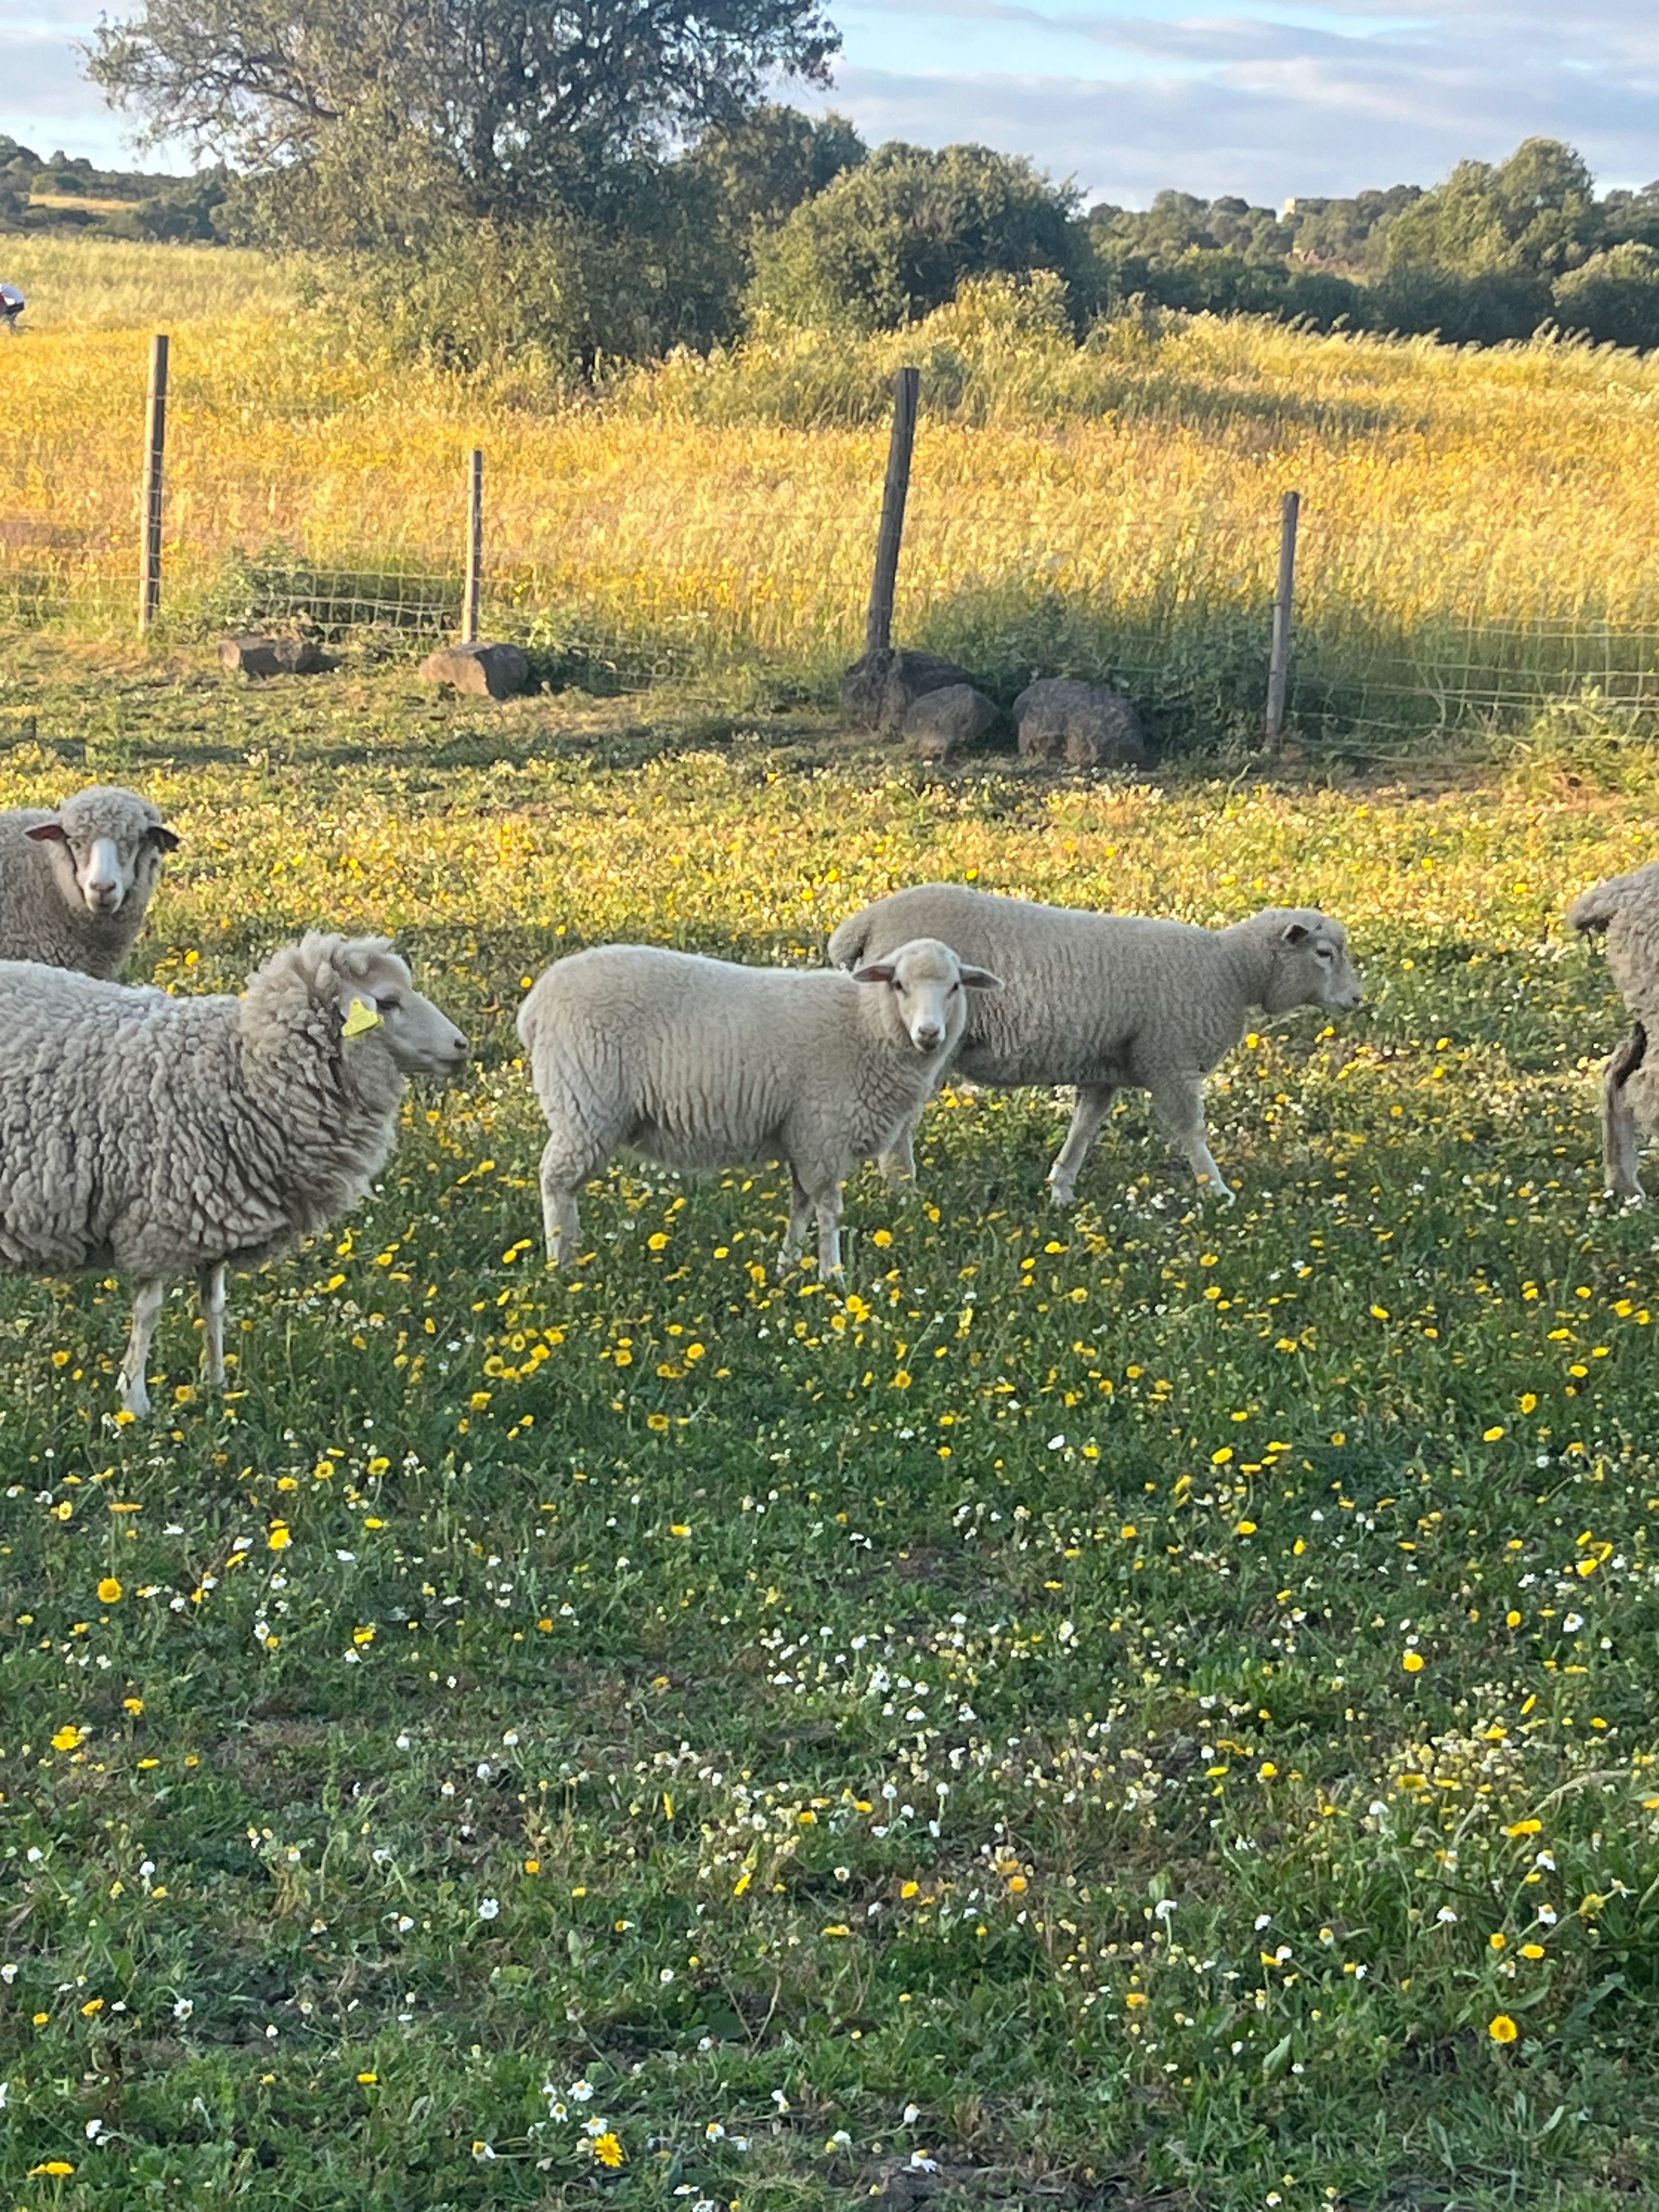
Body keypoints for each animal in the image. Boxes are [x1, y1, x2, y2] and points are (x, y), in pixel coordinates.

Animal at [0, 933, 471, 1415]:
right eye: (388, 1002)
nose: (462, 1046)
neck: (243, 1071)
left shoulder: (215, 1212)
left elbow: (215, 1303)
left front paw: (217, 1387)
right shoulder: (158, 1218)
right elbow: (149, 1310)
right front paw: (135, 1402)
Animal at [520, 938, 1008, 1283]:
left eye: (955, 987)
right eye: (900, 985)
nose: (929, 1034)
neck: (866, 1023)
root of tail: (535, 1005)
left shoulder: (803, 1136)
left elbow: (801, 1205)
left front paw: (786, 1268)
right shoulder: (823, 1131)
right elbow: (828, 1209)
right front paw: (832, 1277)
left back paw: (573, 1255)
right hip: (584, 1101)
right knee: (556, 1181)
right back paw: (562, 1265)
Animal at [827, 876, 1362, 1203]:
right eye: (1323, 952)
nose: (1357, 999)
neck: (1229, 970)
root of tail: (863, 926)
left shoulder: (1105, 1067)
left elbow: (1085, 1127)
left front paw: (1061, 1189)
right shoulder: (1170, 1060)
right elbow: (1191, 1130)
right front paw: (1217, 1190)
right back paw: (905, 1192)